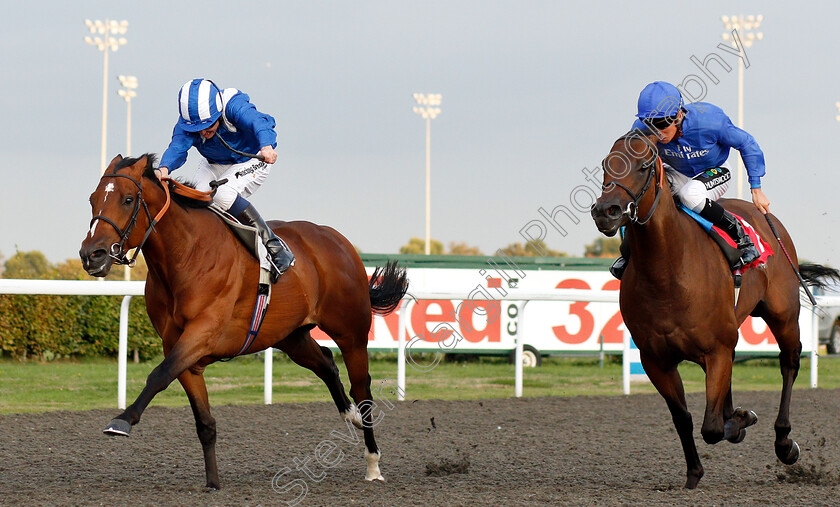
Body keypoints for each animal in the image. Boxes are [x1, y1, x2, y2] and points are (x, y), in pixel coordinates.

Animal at [80, 156, 408, 492]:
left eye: (127, 199)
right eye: (93, 199)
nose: (92, 255)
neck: (187, 255)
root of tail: (338, 240)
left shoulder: (202, 333)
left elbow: (158, 375)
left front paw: (122, 420)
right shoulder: (178, 346)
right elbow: (204, 421)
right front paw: (213, 482)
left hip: (351, 332)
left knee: (363, 391)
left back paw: (372, 463)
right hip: (292, 337)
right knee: (327, 363)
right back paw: (349, 415)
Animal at [588, 130, 836, 488]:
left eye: (644, 165)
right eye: (607, 164)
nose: (606, 211)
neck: (667, 270)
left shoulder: (716, 348)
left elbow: (713, 427)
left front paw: (740, 422)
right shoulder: (655, 359)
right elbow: (684, 418)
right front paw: (694, 472)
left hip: (783, 315)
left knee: (789, 363)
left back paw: (784, 442)